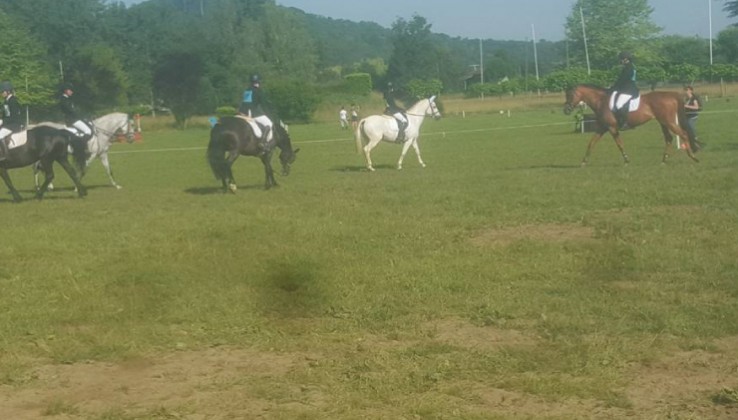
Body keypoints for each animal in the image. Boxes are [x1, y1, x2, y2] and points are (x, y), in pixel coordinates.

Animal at [564, 83, 696, 166]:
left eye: (570, 95)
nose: (566, 110)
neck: (601, 102)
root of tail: (671, 95)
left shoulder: (612, 128)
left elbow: (619, 144)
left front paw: (626, 160)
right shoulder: (602, 128)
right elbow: (591, 143)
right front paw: (583, 161)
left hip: (669, 122)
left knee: (683, 134)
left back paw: (692, 157)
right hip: (663, 122)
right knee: (669, 138)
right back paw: (664, 160)